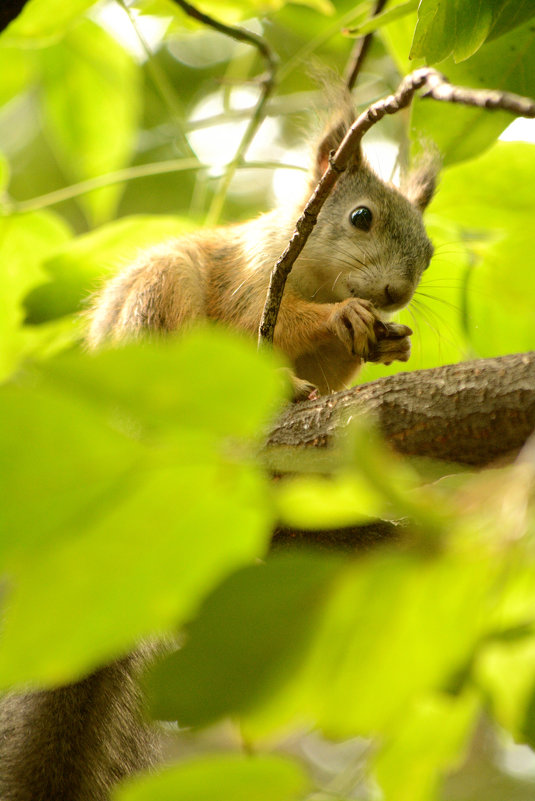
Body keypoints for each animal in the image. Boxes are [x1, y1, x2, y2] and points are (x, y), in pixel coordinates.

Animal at [0, 108, 436, 800]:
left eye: (429, 252)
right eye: (361, 216)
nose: (395, 292)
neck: (309, 270)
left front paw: (387, 342)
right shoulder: (250, 285)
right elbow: (260, 323)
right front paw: (341, 316)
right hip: (160, 302)